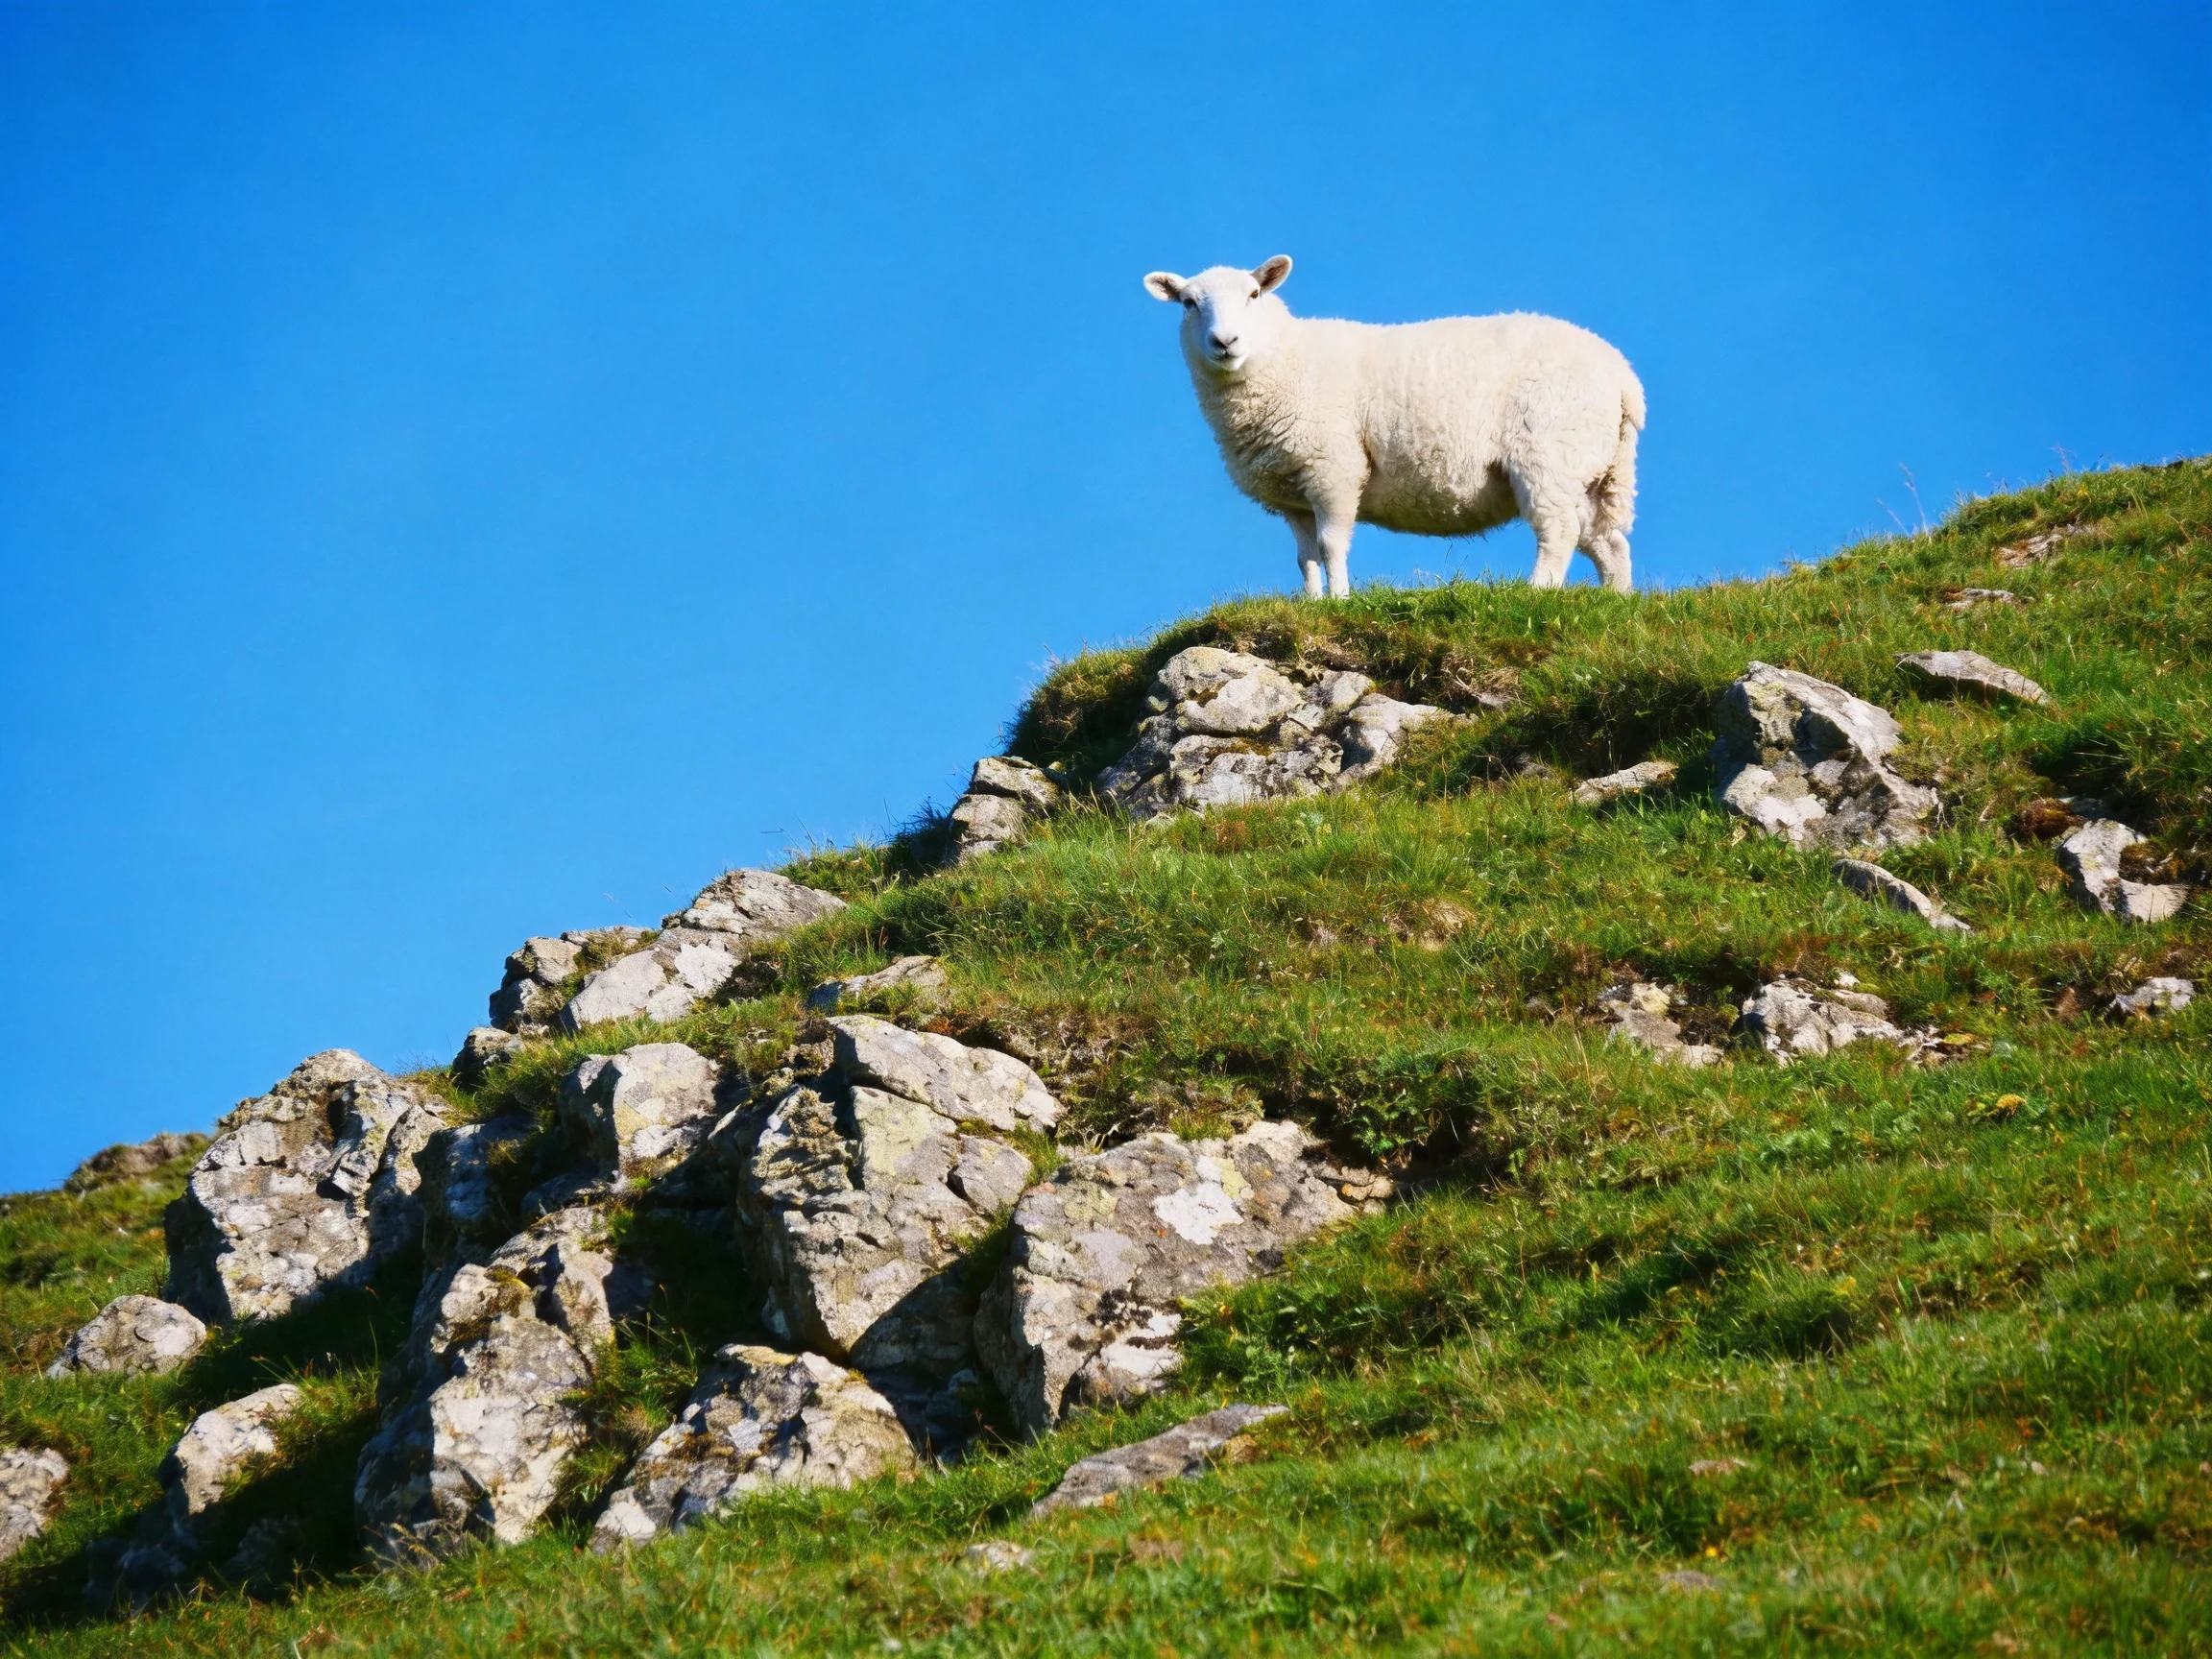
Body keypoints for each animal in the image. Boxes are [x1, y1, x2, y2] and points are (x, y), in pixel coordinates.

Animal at [1143, 256, 1646, 597]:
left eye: (1253, 295)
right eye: (1188, 303)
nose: (1225, 342)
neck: (1286, 360)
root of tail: (1623, 377)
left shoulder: (1334, 468)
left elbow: (1330, 546)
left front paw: (1340, 602)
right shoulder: (1293, 492)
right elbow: (1305, 558)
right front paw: (1311, 606)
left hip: (1549, 453)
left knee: (1558, 532)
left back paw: (1535, 593)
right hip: (1590, 467)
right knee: (1607, 542)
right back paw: (1615, 603)